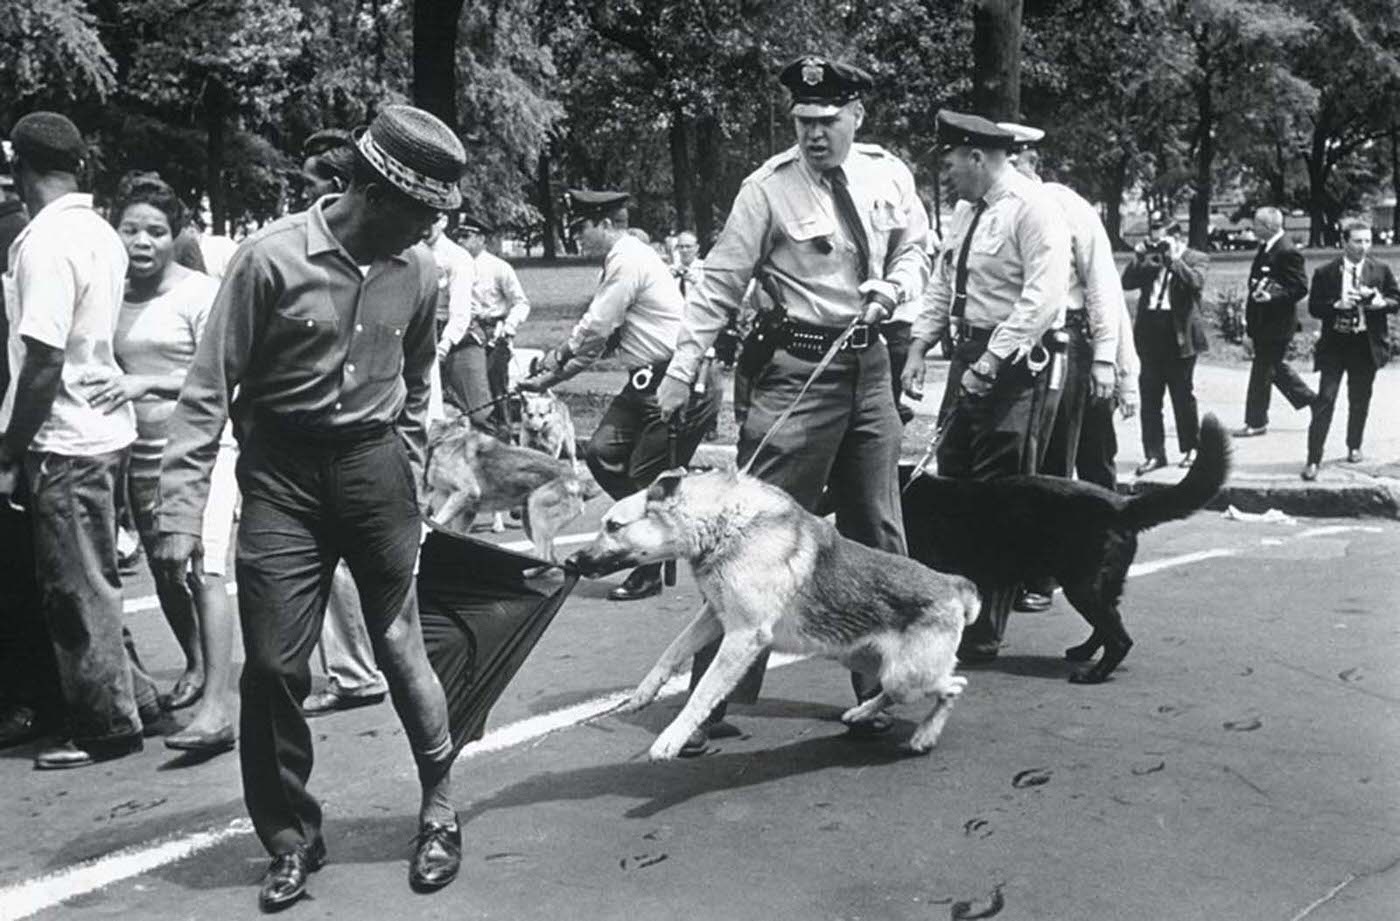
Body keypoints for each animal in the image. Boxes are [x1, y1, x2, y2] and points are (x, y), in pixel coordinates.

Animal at [562, 470, 980, 755]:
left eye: (613, 525)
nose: (570, 561)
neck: (722, 526)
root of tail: (953, 585)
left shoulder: (743, 636)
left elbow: (703, 692)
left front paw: (672, 738)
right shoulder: (715, 616)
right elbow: (672, 651)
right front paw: (645, 692)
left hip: (906, 675)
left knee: (953, 687)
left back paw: (924, 735)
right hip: (865, 661)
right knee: (892, 693)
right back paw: (862, 713)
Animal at [901, 411, 1232, 680]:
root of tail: (1122, 505)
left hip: (1083, 585)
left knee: (1120, 638)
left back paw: (1094, 675)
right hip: (1098, 585)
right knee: (1107, 626)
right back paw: (1083, 653)